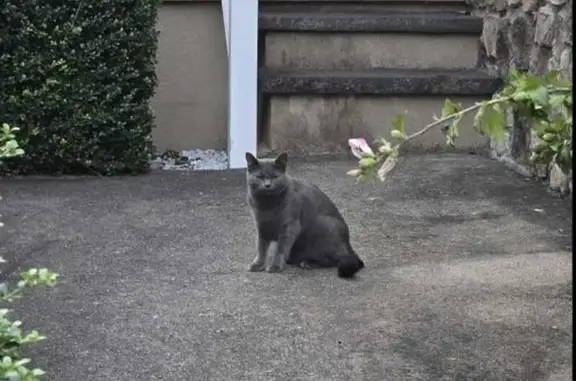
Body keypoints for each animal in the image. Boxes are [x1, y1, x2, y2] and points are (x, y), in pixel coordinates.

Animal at [244, 151, 364, 280]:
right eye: (260, 177)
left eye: (275, 177)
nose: (267, 185)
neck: (267, 206)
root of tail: (349, 245)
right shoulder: (261, 225)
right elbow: (261, 247)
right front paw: (257, 264)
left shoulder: (290, 226)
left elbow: (281, 248)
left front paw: (276, 266)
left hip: (328, 226)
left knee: (336, 260)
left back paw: (307, 263)